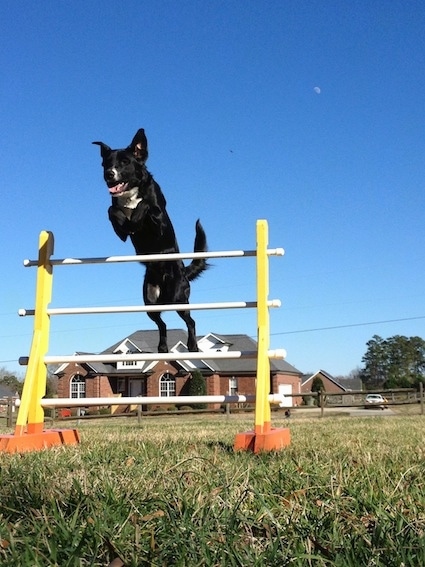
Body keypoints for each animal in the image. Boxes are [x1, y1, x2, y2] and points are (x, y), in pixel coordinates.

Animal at [93, 130, 207, 350]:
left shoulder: (159, 222)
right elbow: (112, 210)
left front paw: (136, 218)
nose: (108, 174)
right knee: (162, 323)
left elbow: (145, 205)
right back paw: (162, 347)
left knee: (190, 321)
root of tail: (183, 271)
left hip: (178, 297)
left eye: (125, 162)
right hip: (150, 301)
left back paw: (192, 345)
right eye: (106, 163)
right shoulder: (119, 226)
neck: (130, 191)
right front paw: (128, 221)